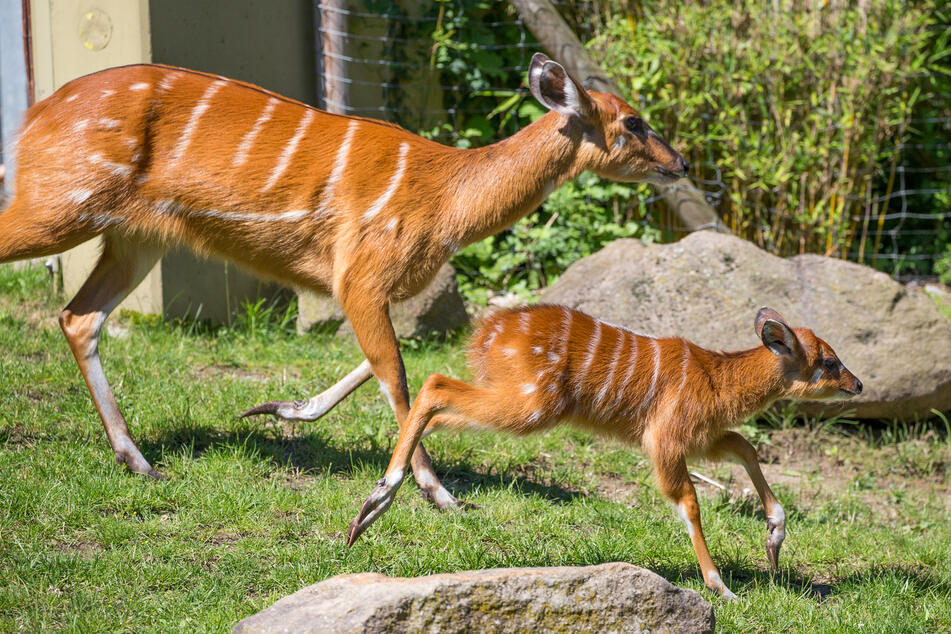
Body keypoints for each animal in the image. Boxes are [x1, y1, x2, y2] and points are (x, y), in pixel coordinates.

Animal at [0, 53, 684, 508]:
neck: (447, 202)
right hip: (61, 205)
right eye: (633, 123)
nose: (678, 164)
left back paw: (138, 461)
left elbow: (383, 363)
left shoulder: (368, 286)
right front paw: (435, 493)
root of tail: (32, 117)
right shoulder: (361, 274)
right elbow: (396, 376)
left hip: (137, 235)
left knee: (79, 316)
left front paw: (279, 409)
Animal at [348, 304, 864, 596]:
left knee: (437, 404)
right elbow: (689, 502)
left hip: (520, 403)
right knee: (435, 383)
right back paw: (374, 505)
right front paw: (722, 588)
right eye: (828, 361)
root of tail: (486, 334)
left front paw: (774, 542)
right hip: (531, 406)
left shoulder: (703, 437)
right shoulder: (665, 438)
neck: (718, 381)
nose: (858, 385)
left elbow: (747, 447)